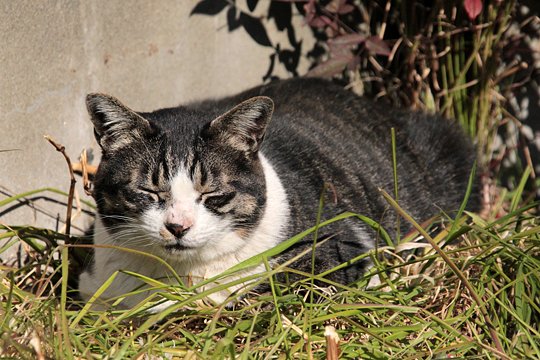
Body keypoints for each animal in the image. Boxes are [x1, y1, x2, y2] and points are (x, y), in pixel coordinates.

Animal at [78, 77, 478, 308]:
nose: (178, 226)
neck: (185, 276)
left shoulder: (342, 248)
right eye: (149, 191)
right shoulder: (92, 287)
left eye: (212, 194)